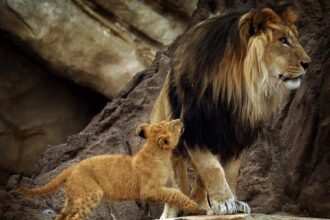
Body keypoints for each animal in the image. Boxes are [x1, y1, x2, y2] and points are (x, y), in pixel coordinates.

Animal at [150, 1, 310, 218]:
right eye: (283, 41)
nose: (308, 63)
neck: (240, 87)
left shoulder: (235, 136)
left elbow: (228, 172)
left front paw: (233, 202)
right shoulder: (194, 128)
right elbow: (212, 169)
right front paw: (226, 202)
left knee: (198, 183)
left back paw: (202, 207)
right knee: (176, 181)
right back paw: (175, 211)